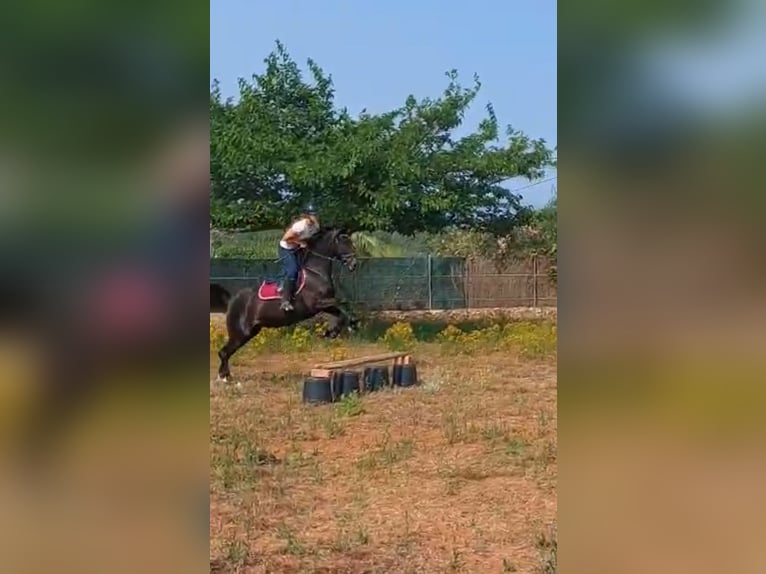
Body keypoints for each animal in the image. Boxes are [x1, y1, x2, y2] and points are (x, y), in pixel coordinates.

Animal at [216, 226, 358, 382]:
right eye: (345, 241)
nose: (354, 264)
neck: (315, 272)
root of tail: (232, 300)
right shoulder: (317, 304)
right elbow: (343, 303)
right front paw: (344, 327)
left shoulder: (325, 304)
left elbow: (340, 310)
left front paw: (333, 331)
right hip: (241, 332)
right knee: (224, 352)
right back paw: (223, 377)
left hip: (251, 332)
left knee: (225, 352)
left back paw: (225, 376)